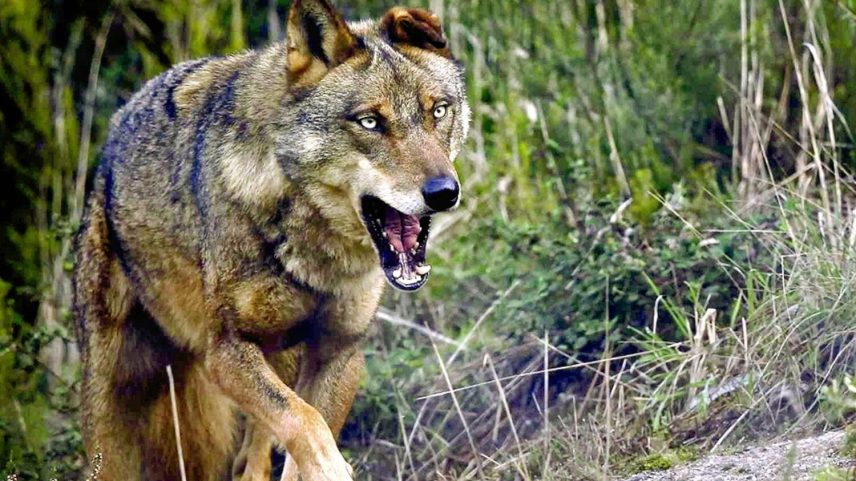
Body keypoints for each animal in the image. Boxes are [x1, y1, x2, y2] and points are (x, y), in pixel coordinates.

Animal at [71, 1, 469, 480]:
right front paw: (333, 468)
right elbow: (305, 422)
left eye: (438, 112)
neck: (313, 255)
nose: (444, 192)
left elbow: (305, 433)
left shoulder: (339, 352)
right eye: (370, 122)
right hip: (112, 398)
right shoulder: (226, 354)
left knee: (254, 457)